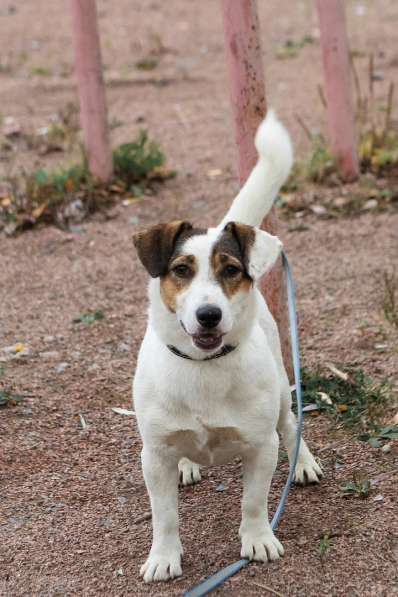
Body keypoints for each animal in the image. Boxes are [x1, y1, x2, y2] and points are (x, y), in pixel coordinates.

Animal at [132, 110, 322, 584]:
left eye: (232, 270)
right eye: (182, 270)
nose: (209, 315)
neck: (203, 367)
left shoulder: (260, 446)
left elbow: (253, 502)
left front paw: (258, 540)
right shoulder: (154, 455)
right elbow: (164, 516)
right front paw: (163, 556)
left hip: (282, 390)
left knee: (291, 426)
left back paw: (304, 462)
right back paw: (188, 464)